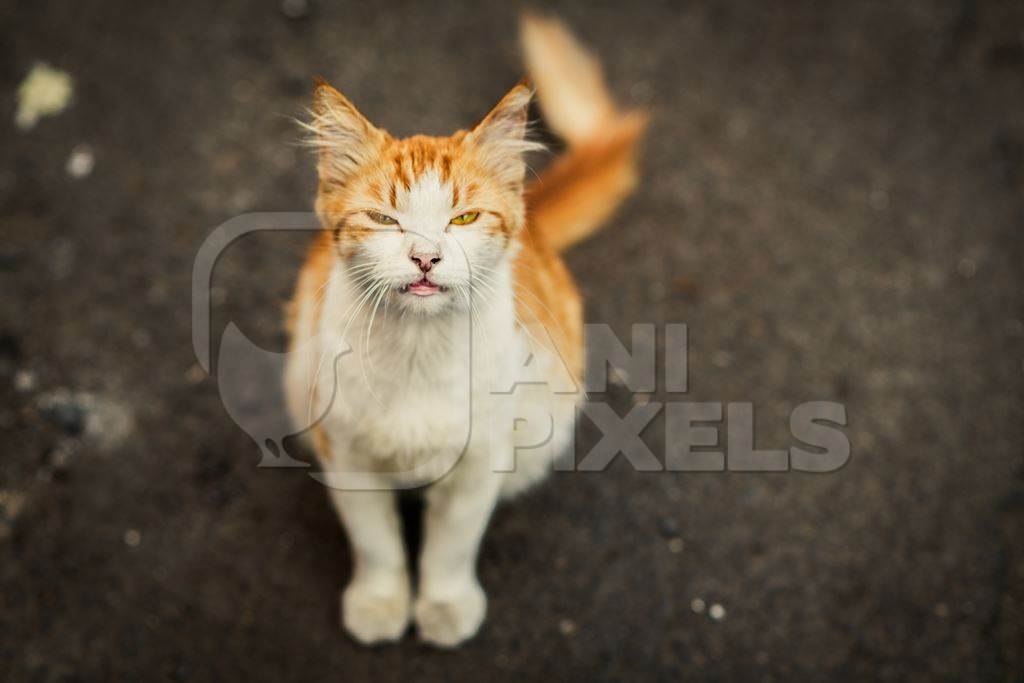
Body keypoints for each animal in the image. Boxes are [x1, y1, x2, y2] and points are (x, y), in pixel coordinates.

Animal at [284, 14, 643, 647]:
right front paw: (381, 602)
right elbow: (376, 543)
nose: (426, 257)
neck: (418, 351)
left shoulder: (483, 458)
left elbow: (451, 545)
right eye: (384, 219)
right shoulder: (344, 451)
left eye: (465, 217)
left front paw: (446, 606)